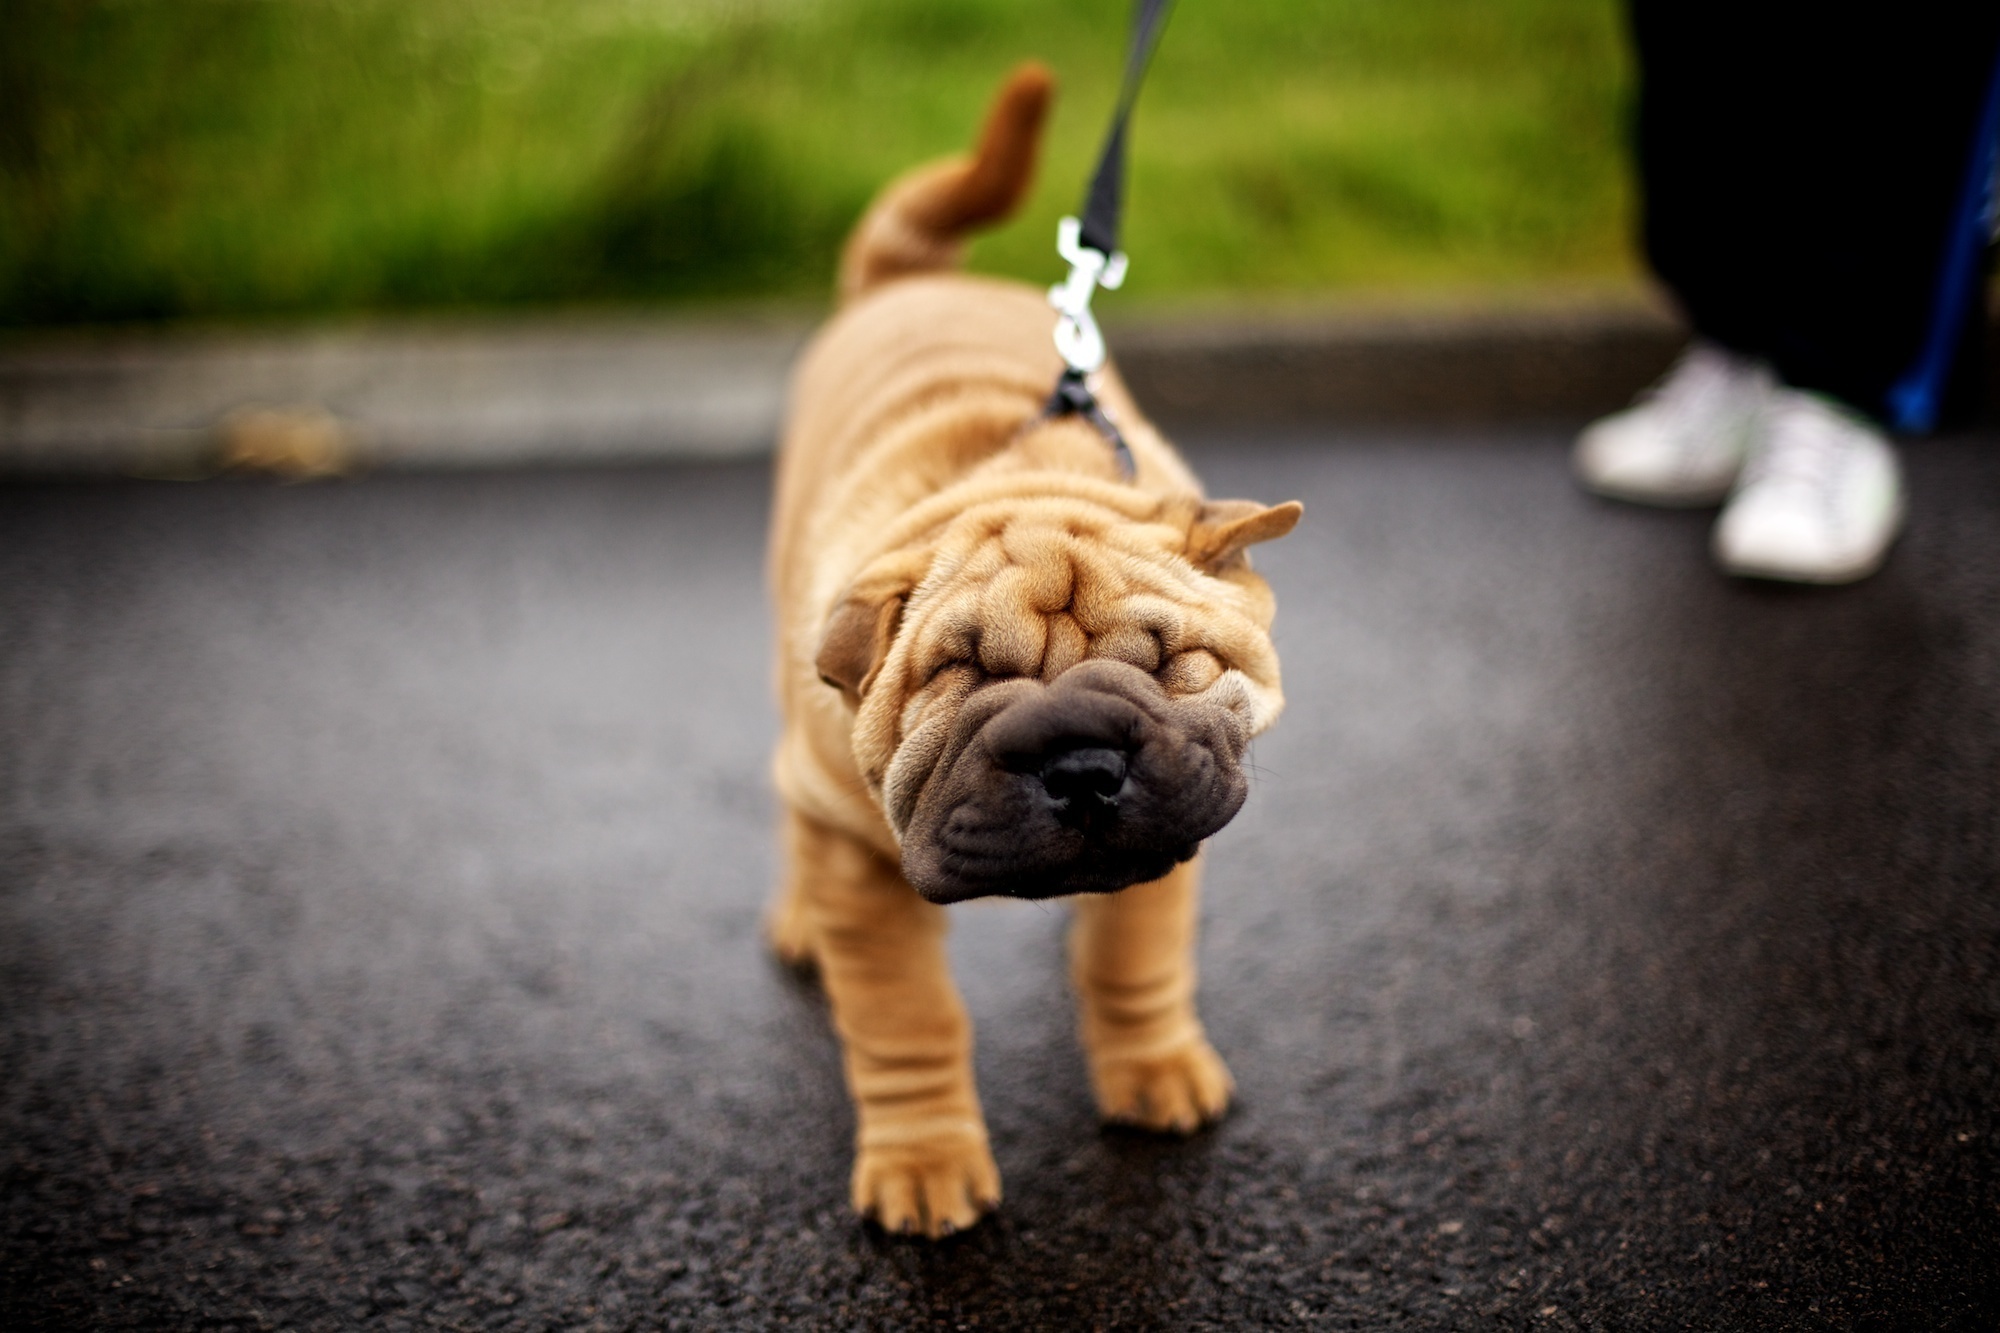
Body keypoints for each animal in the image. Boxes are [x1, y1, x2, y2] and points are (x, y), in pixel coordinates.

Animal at [760, 65, 1296, 1232]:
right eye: (957, 682)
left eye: (1166, 663)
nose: (1082, 764)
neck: (1015, 479)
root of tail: (907, 279)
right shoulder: (862, 866)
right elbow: (907, 1020)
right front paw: (923, 1167)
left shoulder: (1173, 814)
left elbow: (1136, 962)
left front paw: (1157, 1072)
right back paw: (798, 922)